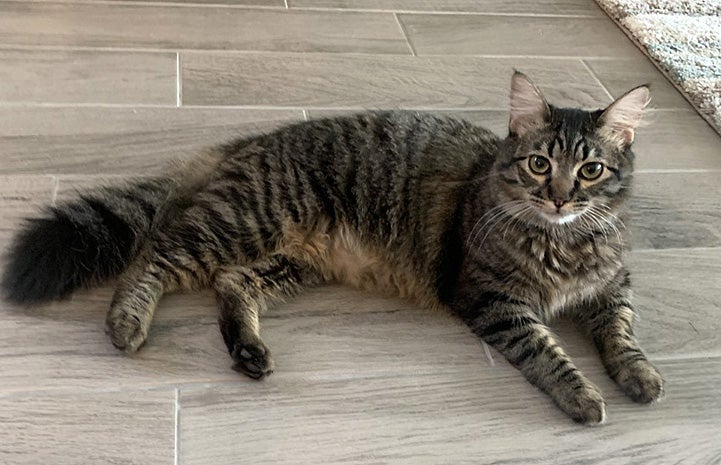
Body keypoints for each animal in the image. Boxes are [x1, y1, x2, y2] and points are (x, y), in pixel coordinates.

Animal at [1, 72, 664, 424]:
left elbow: (622, 334)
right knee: (155, 256)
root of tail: (253, 141)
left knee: (231, 284)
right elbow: (548, 351)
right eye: (538, 165)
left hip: (289, 261)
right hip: (243, 224)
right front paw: (584, 396)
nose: (560, 197)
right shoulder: (494, 300)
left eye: (591, 171)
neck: (564, 240)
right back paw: (127, 322)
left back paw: (248, 351)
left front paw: (640, 376)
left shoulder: (613, 288)